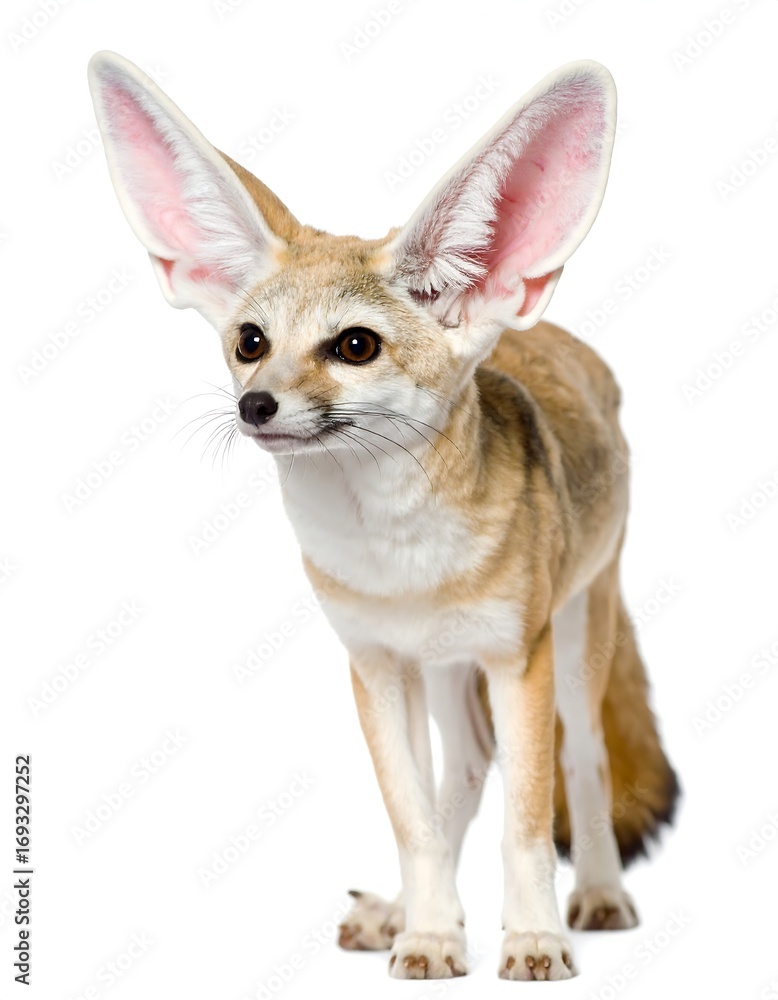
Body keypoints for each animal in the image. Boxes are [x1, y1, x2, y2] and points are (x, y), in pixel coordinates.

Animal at [87, 51, 679, 981]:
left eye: (355, 346)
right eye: (250, 342)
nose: (255, 406)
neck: (404, 559)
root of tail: (557, 339)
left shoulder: (519, 658)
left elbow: (525, 824)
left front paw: (534, 938)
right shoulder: (375, 663)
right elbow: (416, 820)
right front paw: (431, 932)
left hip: (582, 634)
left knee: (582, 762)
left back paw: (598, 895)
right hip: (442, 672)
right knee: (463, 769)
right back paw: (403, 913)